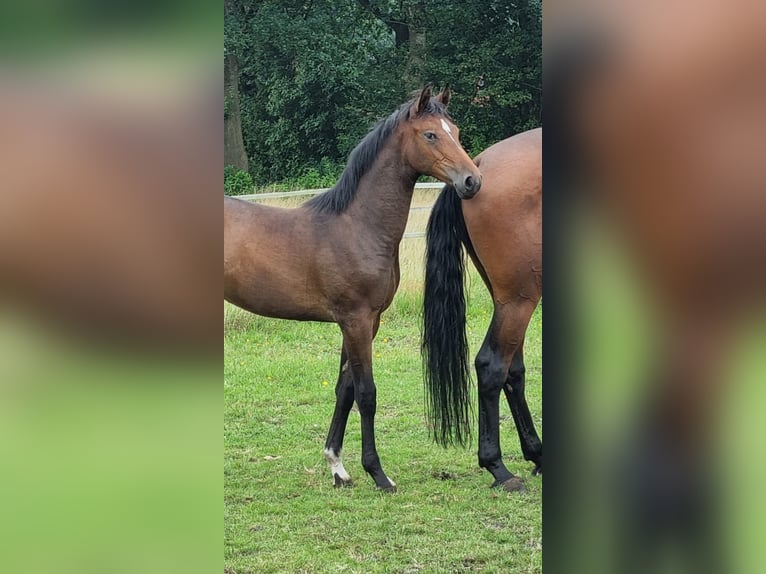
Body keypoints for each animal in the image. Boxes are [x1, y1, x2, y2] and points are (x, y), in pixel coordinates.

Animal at [225, 85, 484, 490]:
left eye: (454, 132)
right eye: (430, 134)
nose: (472, 181)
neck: (357, 226)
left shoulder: (365, 322)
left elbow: (344, 390)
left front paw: (337, 467)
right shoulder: (356, 320)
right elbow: (367, 394)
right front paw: (378, 473)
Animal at [424, 128, 544, 492]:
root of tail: (477, 166)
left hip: (508, 299)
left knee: (513, 371)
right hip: (519, 299)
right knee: (493, 366)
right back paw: (499, 468)